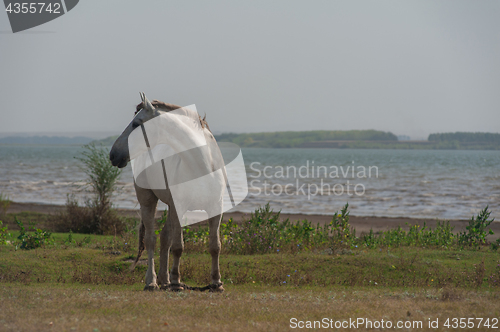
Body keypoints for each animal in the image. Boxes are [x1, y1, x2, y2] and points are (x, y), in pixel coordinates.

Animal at [112, 92, 227, 290]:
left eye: (136, 123)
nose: (113, 155)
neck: (202, 165)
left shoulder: (215, 208)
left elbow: (215, 246)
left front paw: (216, 283)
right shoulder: (178, 207)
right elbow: (178, 247)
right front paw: (176, 281)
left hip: (171, 208)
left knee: (164, 238)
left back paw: (164, 279)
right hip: (148, 202)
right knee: (151, 239)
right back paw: (152, 282)